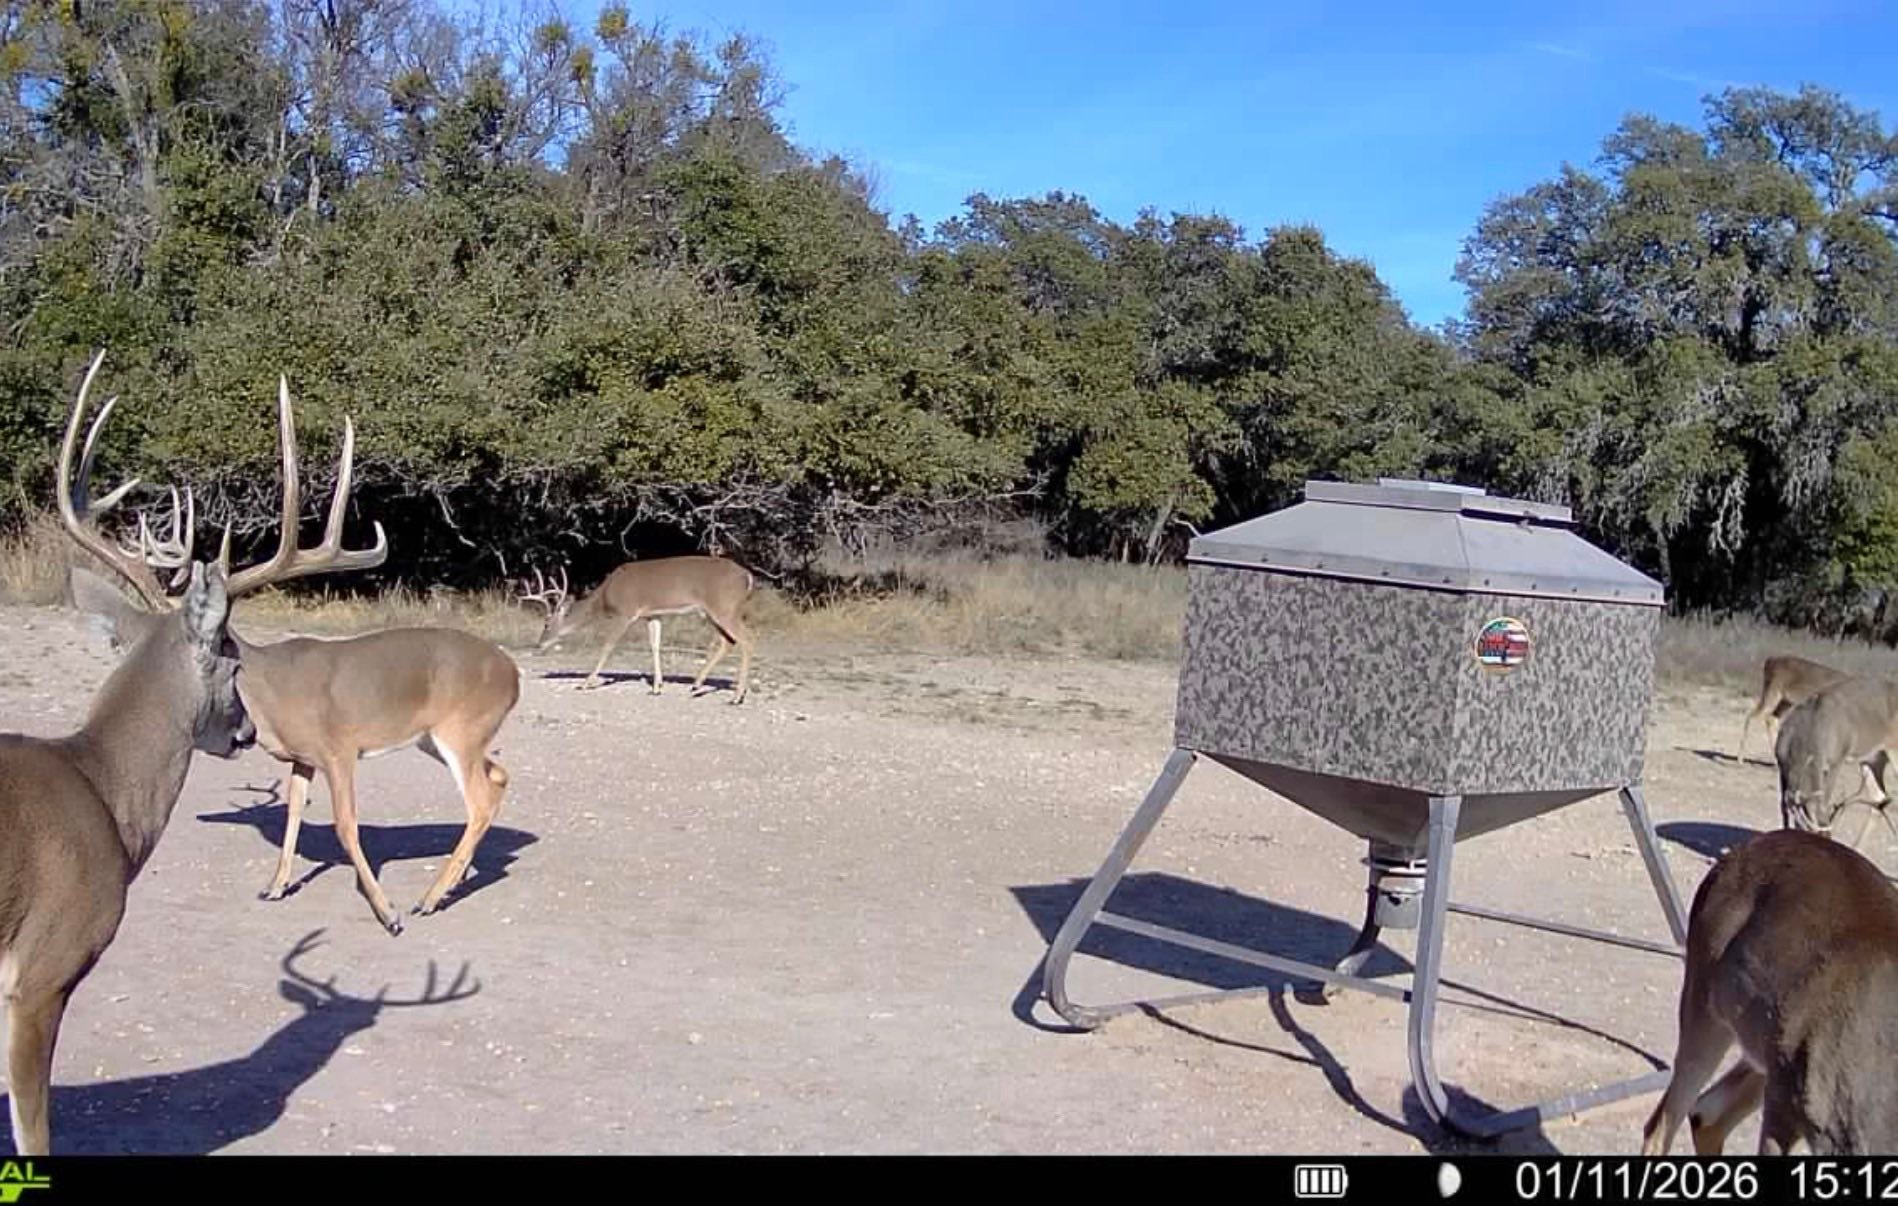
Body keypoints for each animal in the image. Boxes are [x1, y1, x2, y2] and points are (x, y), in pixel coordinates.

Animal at [71, 377, 521, 938]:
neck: (271, 692)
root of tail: (514, 674)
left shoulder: (339, 748)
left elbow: (347, 827)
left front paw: (387, 912)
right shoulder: (303, 758)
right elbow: (291, 816)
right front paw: (275, 885)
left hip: (460, 729)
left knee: (481, 798)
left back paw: (427, 899)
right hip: (439, 739)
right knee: (498, 779)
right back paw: (451, 883)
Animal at [520, 555, 756, 703]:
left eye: (546, 624)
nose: (538, 645)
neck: (606, 595)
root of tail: (747, 576)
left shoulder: (625, 613)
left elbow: (608, 645)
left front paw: (585, 683)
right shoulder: (652, 615)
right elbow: (655, 645)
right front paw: (657, 687)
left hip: (723, 608)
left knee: (747, 639)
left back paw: (736, 697)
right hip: (714, 612)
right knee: (729, 641)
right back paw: (697, 686)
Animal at [1641, 828, 1898, 1155]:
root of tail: (1738, 853)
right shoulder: (1782, 1102)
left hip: (1763, 1046)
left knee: (1706, 1112)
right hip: (1707, 1004)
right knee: (1663, 1123)